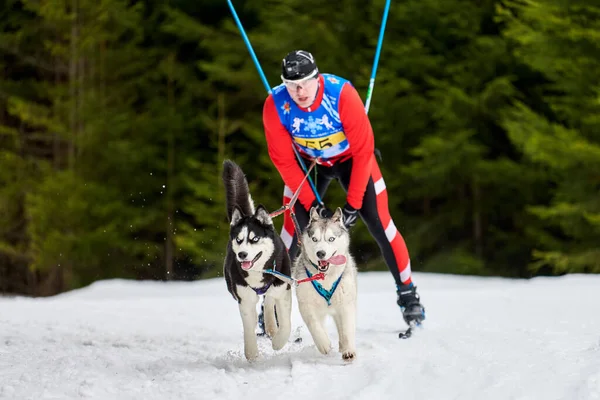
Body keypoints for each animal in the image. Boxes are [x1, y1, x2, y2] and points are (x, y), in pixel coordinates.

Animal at [223, 159, 292, 360]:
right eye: (239, 240)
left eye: (254, 239)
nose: (242, 254)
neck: (259, 272)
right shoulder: (244, 297)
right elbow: (248, 324)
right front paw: (252, 352)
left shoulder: (284, 290)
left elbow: (285, 323)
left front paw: (278, 342)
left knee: (268, 301)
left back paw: (271, 327)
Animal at [294, 208, 358, 360]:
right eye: (314, 239)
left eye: (331, 239)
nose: (320, 253)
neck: (325, 277)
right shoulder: (306, 305)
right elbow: (314, 325)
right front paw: (324, 344)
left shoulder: (346, 305)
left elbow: (347, 329)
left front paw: (349, 351)